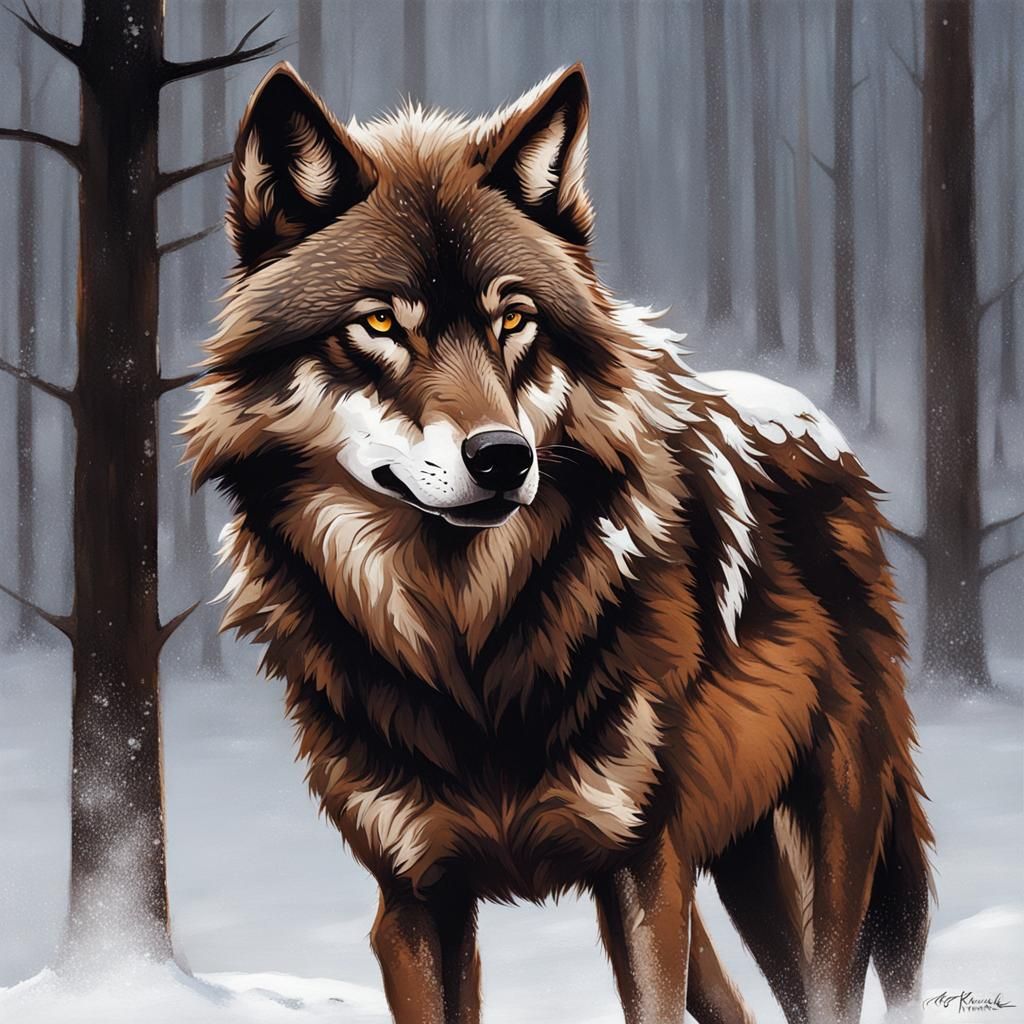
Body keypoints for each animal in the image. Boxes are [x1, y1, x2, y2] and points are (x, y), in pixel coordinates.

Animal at [183, 61, 932, 1024]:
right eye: (380, 325)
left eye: (515, 320)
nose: (503, 457)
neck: (467, 650)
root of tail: (819, 431)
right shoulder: (416, 899)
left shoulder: (640, 871)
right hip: (732, 869)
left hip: (814, 861)